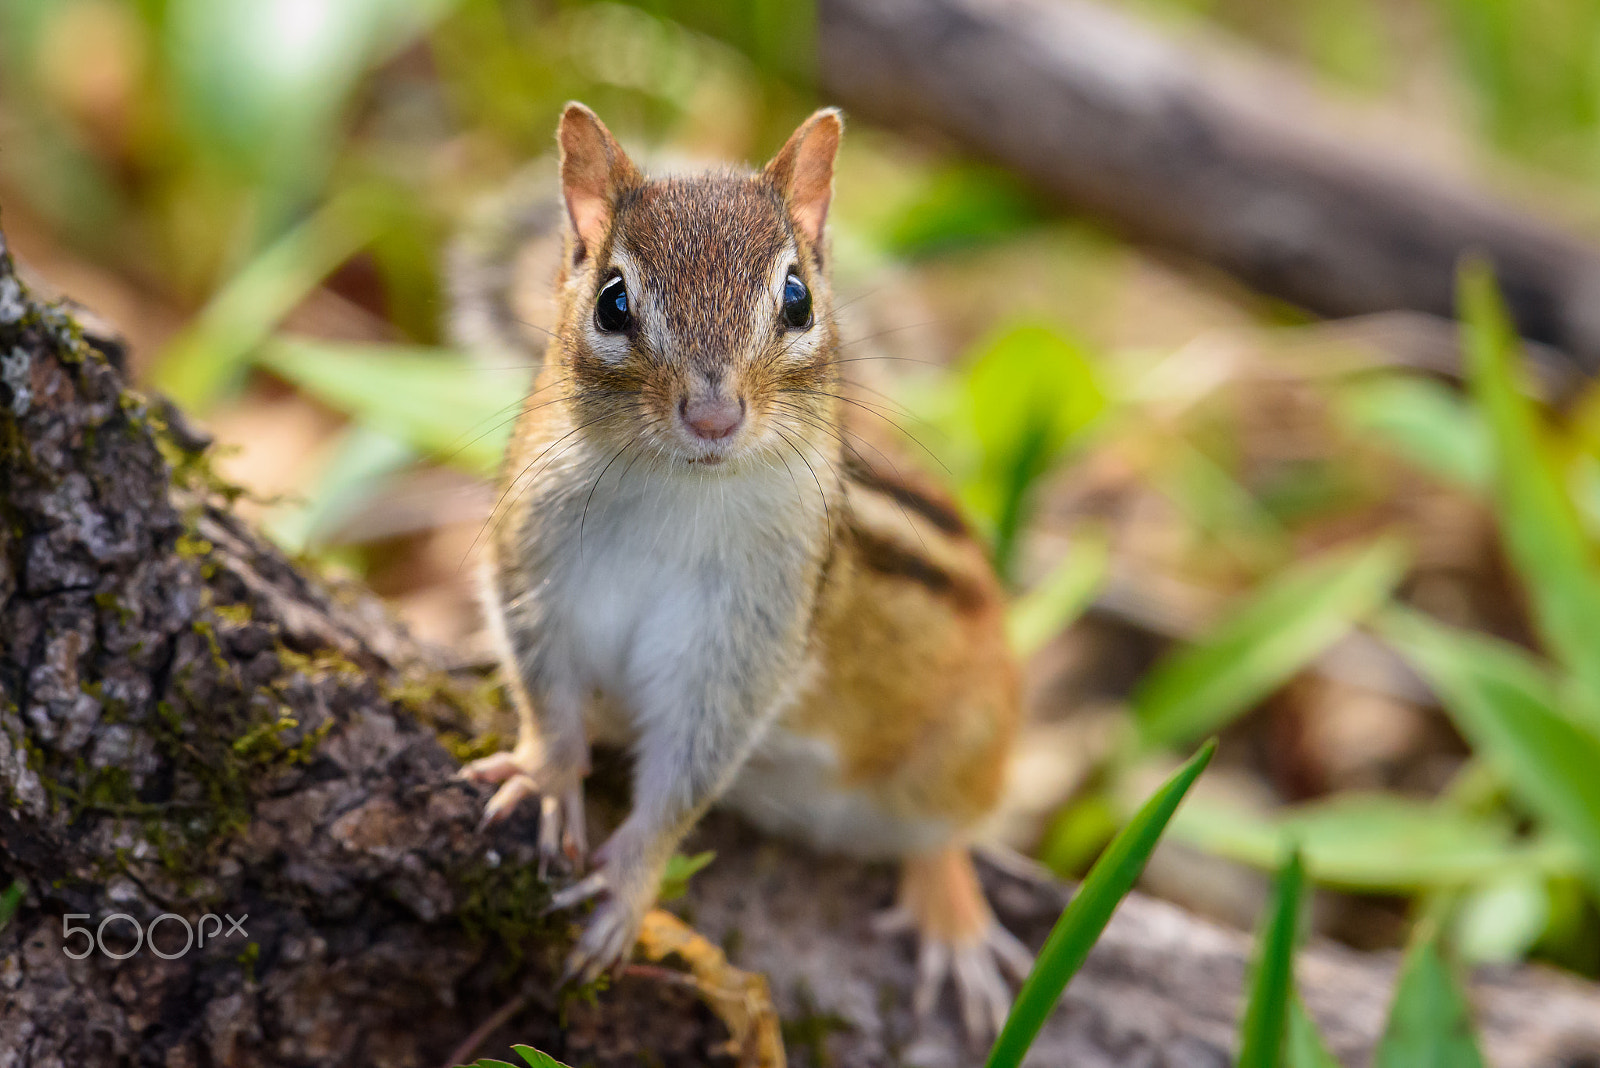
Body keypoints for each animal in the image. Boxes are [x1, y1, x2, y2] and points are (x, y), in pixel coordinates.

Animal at [451, 103, 1031, 1038]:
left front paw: (626, 886)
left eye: (796, 298)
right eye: (613, 302)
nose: (714, 415)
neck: (673, 490)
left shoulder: (744, 640)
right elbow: (545, 691)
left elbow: (690, 769)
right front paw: (544, 774)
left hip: (967, 745)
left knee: (944, 831)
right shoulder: (532, 570)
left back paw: (955, 921)